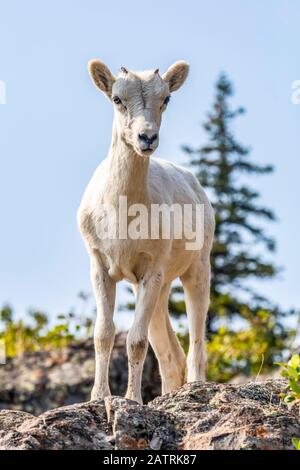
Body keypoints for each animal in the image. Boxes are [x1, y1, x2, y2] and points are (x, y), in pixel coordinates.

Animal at [77, 59, 213, 404]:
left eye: (166, 99)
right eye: (117, 99)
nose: (146, 137)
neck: (122, 215)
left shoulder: (151, 271)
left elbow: (136, 342)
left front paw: (133, 400)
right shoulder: (102, 268)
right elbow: (103, 334)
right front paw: (98, 397)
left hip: (195, 271)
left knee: (195, 342)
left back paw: (194, 388)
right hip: (158, 289)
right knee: (170, 355)